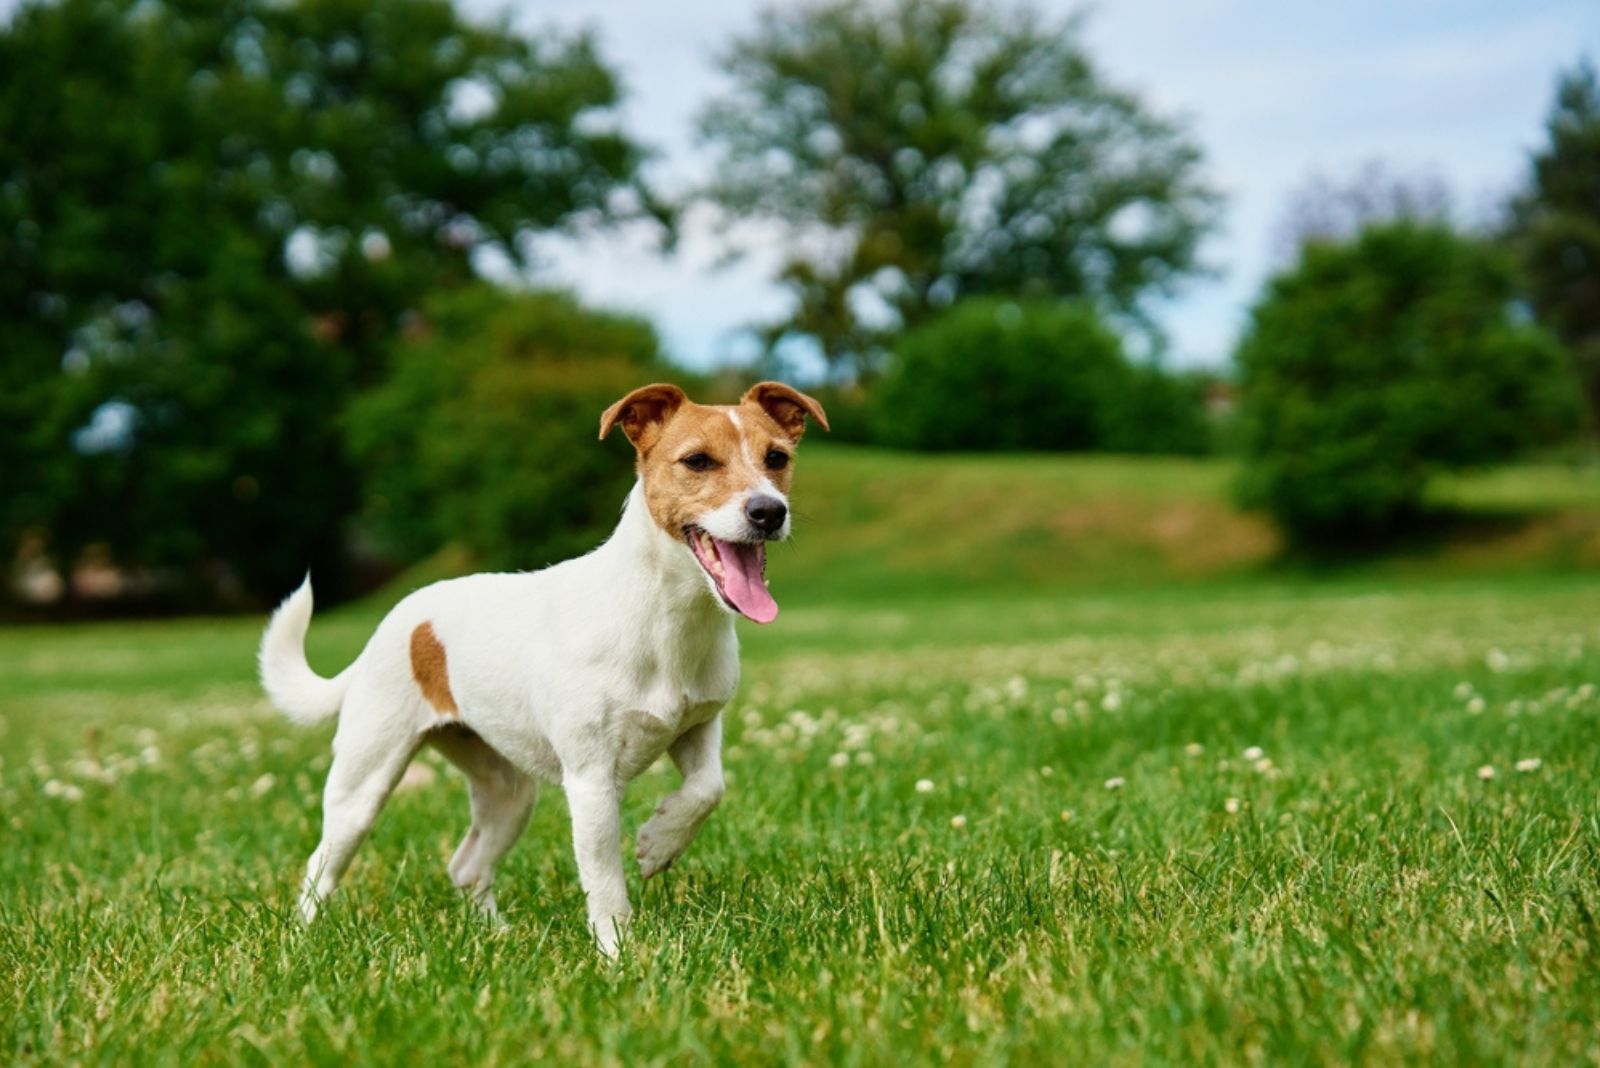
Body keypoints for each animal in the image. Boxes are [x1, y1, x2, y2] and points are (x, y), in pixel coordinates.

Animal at [256, 378, 832, 952]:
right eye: (697, 461)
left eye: (777, 457)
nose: (768, 511)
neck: (666, 618)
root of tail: (395, 623)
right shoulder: (591, 780)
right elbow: (604, 880)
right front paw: (619, 953)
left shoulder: (699, 726)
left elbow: (708, 788)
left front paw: (660, 841)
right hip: (365, 779)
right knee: (322, 863)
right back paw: (302, 939)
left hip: (508, 792)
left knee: (466, 864)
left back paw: (496, 936)